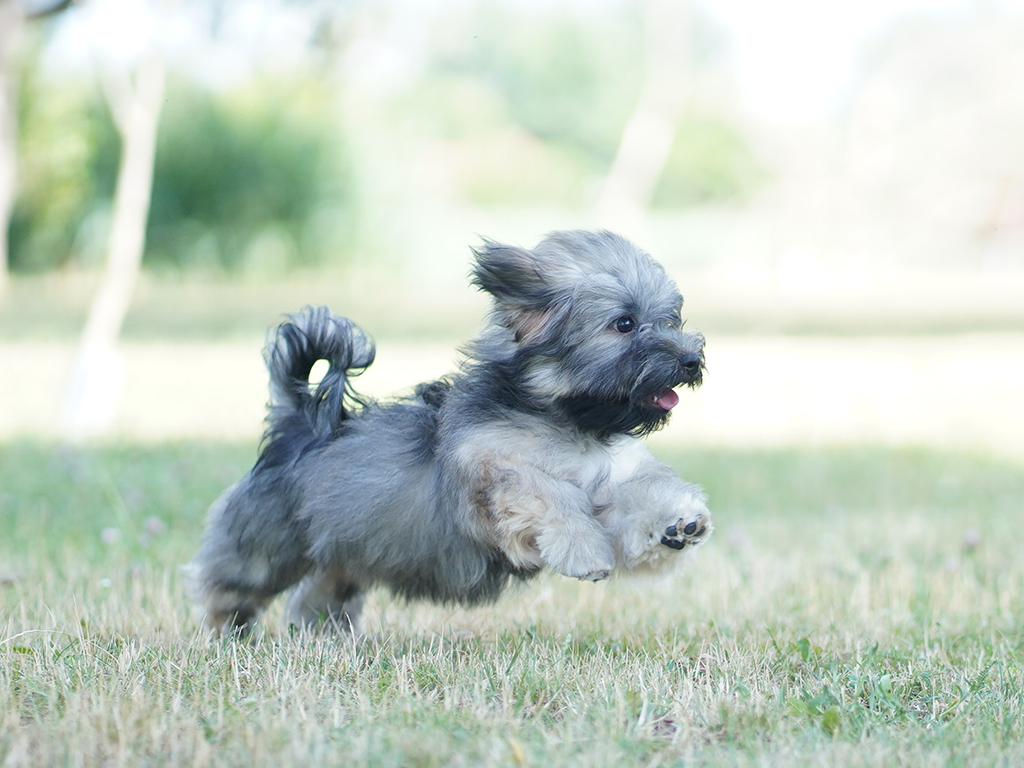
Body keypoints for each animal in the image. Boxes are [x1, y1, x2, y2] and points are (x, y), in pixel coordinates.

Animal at [186, 230, 712, 638]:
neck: (567, 421)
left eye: (671, 320)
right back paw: (224, 633)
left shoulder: (608, 482)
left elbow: (636, 500)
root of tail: (299, 426)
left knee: (315, 593)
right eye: (624, 323)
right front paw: (585, 551)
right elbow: (550, 494)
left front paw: (677, 522)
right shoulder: (495, 479)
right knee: (227, 583)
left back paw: (323, 637)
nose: (691, 359)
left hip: (346, 550)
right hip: (268, 546)